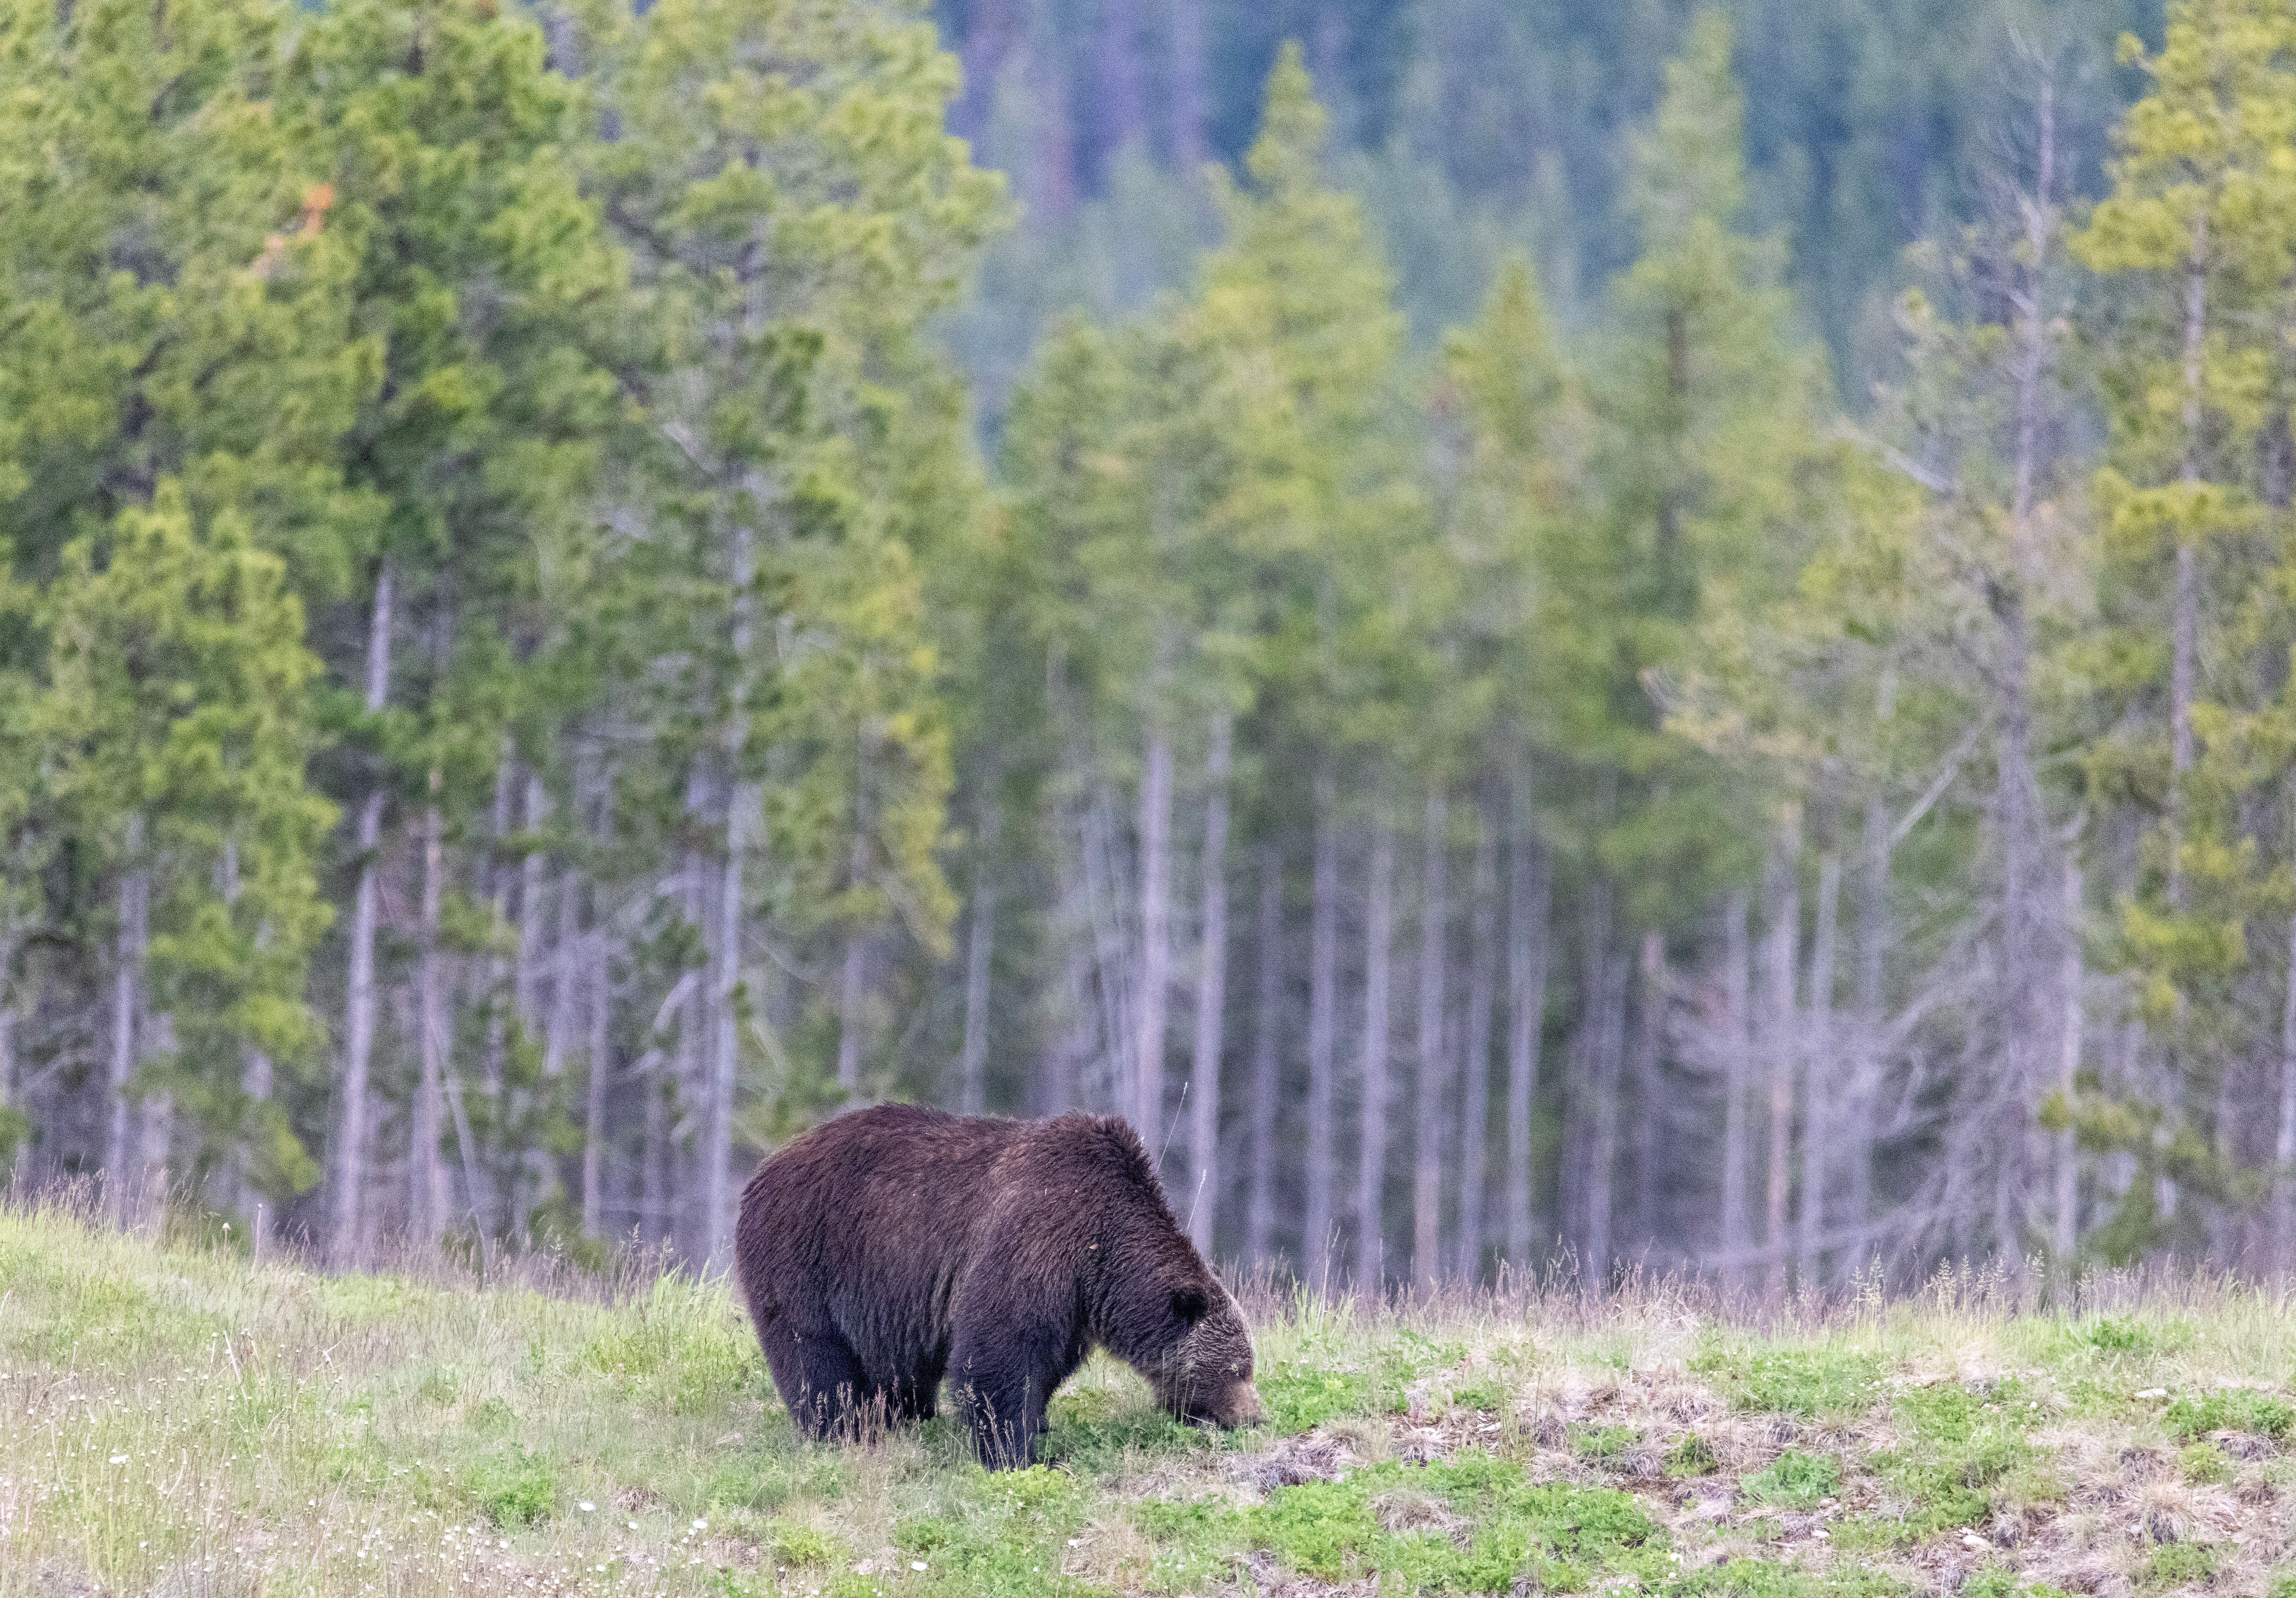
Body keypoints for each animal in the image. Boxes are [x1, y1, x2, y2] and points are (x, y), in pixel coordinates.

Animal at [733, 1103, 1262, 1467]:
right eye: (1236, 1369)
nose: (1255, 1416)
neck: (1104, 1246)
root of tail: (762, 1170)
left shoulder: (1074, 1301)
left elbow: (1047, 1363)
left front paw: (1039, 1422)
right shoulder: (1035, 1238)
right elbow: (998, 1354)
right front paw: (1015, 1452)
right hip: (806, 1257)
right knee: (815, 1358)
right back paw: (840, 1429)